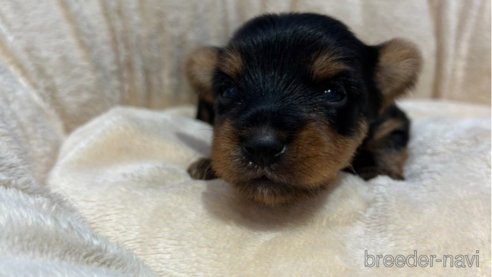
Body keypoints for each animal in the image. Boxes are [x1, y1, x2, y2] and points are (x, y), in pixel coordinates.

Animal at [184, 12, 422, 205]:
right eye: (228, 90)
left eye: (333, 93)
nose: (262, 147)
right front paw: (207, 164)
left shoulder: (392, 121)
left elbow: (388, 144)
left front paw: (379, 170)